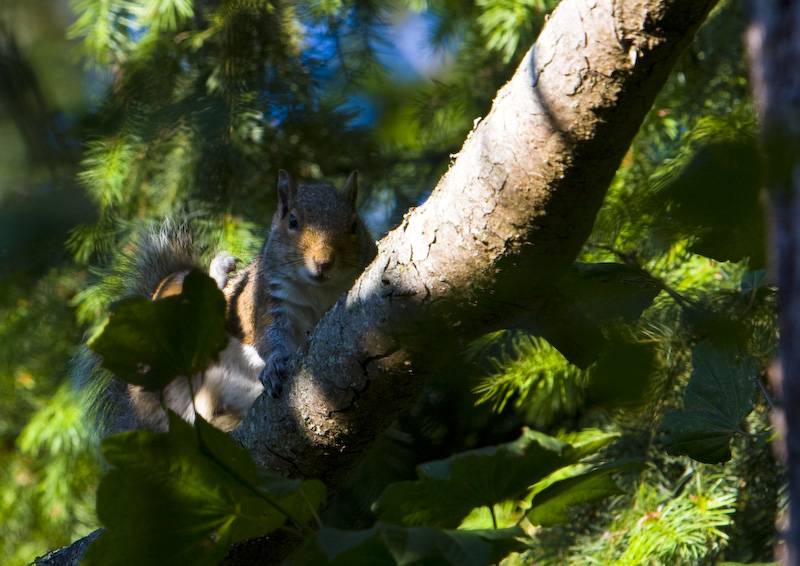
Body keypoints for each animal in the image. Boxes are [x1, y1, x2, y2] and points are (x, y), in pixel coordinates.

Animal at [78, 169, 376, 434]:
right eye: (292, 221)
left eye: (354, 226)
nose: (323, 262)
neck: (318, 290)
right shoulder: (267, 298)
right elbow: (270, 336)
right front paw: (274, 364)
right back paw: (218, 276)